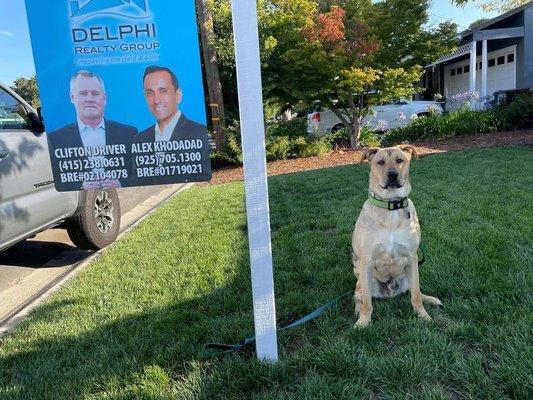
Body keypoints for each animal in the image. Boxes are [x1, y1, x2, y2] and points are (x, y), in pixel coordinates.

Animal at [354, 145, 440, 326]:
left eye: (399, 160)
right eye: (380, 162)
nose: (392, 174)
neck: (391, 205)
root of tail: (390, 293)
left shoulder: (412, 258)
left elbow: (415, 295)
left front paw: (423, 316)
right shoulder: (367, 262)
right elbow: (367, 302)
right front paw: (363, 322)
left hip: (408, 275)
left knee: (416, 291)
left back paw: (431, 299)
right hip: (362, 279)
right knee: (360, 297)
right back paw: (358, 311)